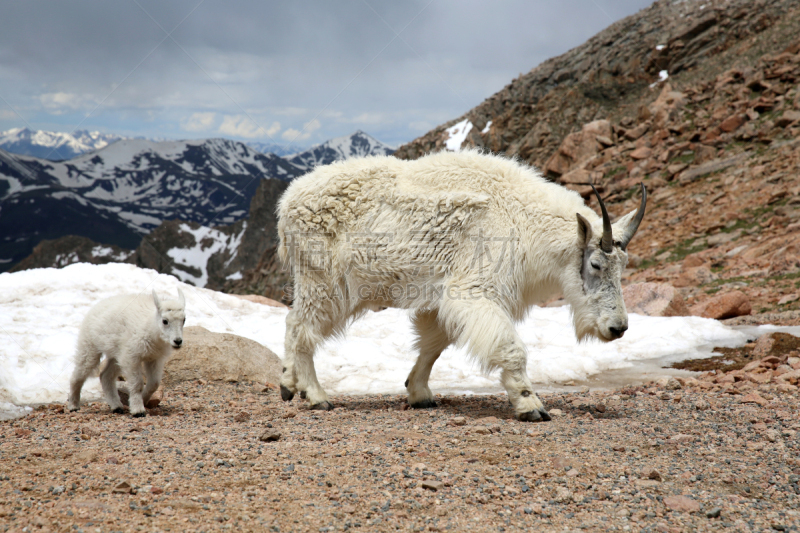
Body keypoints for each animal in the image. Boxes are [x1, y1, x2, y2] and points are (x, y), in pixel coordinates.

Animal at [278, 150, 648, 420]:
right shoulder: (475, 291)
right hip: (323, 280)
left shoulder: (443, 297)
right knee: (301, 327)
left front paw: (418, 392)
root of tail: (287, 202)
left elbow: (434, 344)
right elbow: (510, 348)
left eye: (624, 266)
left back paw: (288, 383)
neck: (521, 218)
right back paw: (315, 395)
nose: (618, 327)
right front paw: (530, 404)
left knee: (296, 325)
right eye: (596, 264)